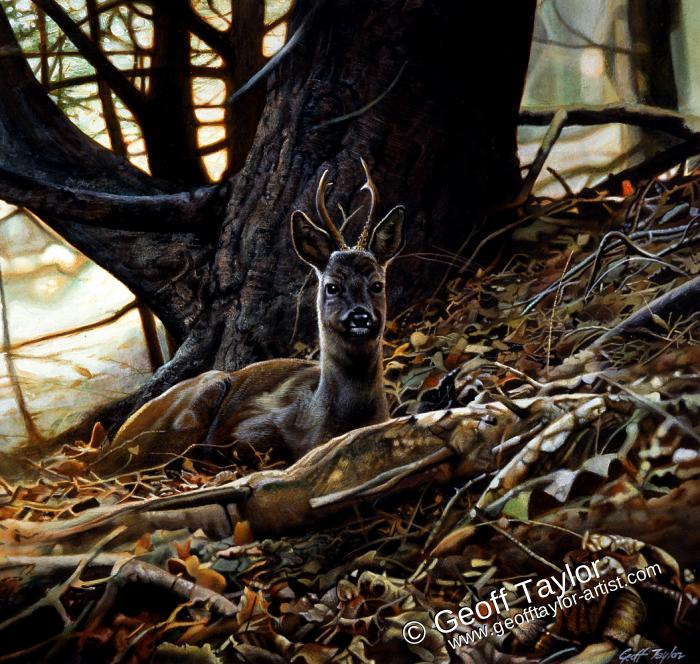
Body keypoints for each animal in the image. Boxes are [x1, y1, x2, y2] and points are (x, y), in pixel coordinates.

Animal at [95, 160, 408, 472]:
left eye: (377, 284)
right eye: (332, 286)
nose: (360, 317)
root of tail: (114, 439)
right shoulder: (247, 425)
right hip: (196, 402)